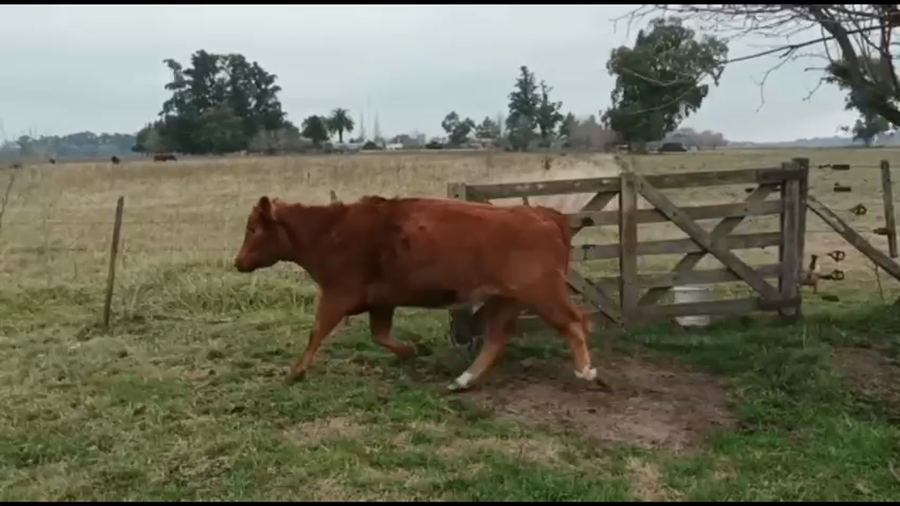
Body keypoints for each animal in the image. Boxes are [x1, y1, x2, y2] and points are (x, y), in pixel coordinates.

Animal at [232, 194, 597, 392]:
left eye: (252, 228)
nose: (238, 262)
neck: (329, 231)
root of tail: (543, 214)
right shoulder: (381, 302)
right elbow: (381, 336)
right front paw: (412, 351)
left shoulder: (337, 295)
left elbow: (317, 331)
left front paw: (295, 372)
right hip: (507, 299)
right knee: (497, 338)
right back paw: (462, 381)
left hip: (542, 294)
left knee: (575, 321)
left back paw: (585, 370)